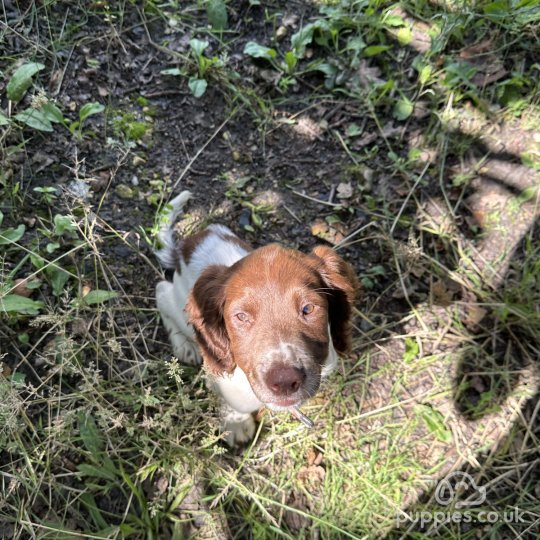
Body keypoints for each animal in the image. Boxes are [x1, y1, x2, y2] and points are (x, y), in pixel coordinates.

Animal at [156, 192, 358, 446]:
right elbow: (233, 401)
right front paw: (235, 424)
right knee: (162, 292)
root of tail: (189, 244)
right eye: (241, 316)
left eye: (308, 308)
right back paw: (184, 345)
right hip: (180, 305)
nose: (285, 381)